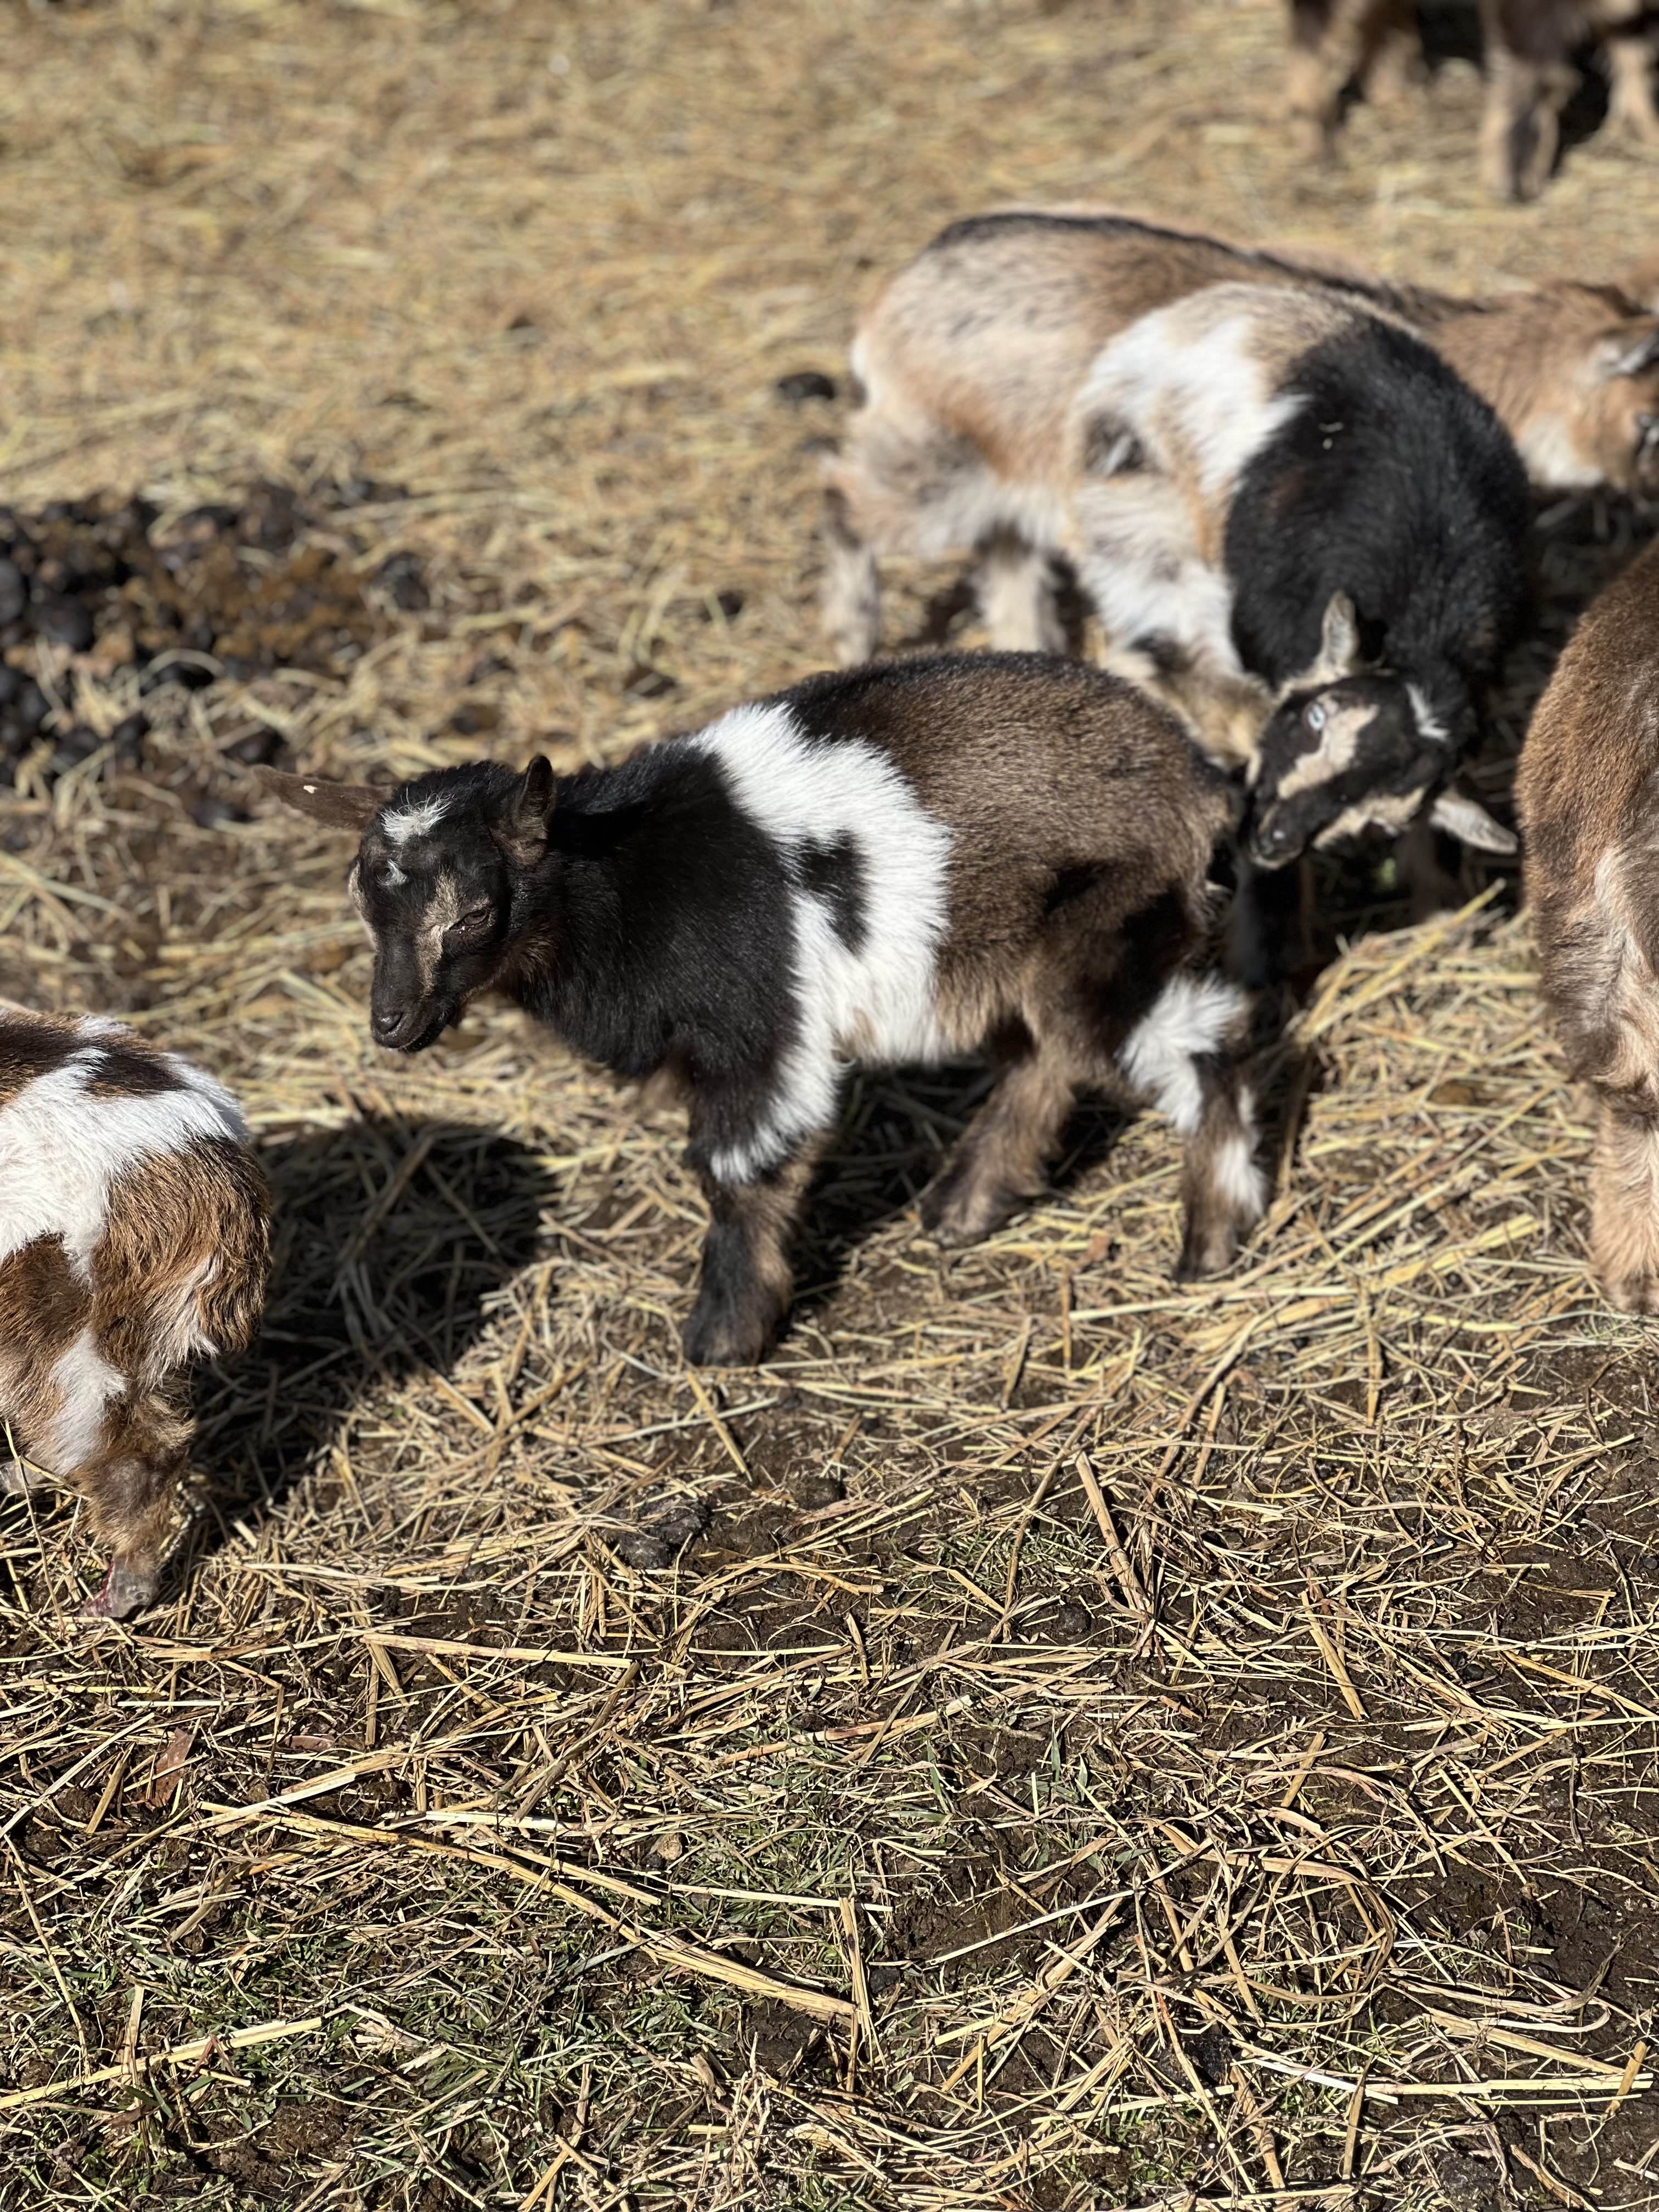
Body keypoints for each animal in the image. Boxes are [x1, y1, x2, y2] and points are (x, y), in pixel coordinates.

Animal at [264, 655, 1267, 1367]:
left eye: (474, 912)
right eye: (360, 900)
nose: (392, 1025)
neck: (623, 885)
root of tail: (1197, 780)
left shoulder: (754, 1030)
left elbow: (739, 1166)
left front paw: (723, 1337)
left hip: (1113, 925)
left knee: (1192, 1040)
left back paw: (1209, 1240)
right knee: (1048, 1054)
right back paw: (964, 1205)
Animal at [822, 207, 1659, 670]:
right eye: (1647, 421)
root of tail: (902, 284)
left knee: (1007, 569)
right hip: (937, 462)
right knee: (841, 492)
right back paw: (852, 632)